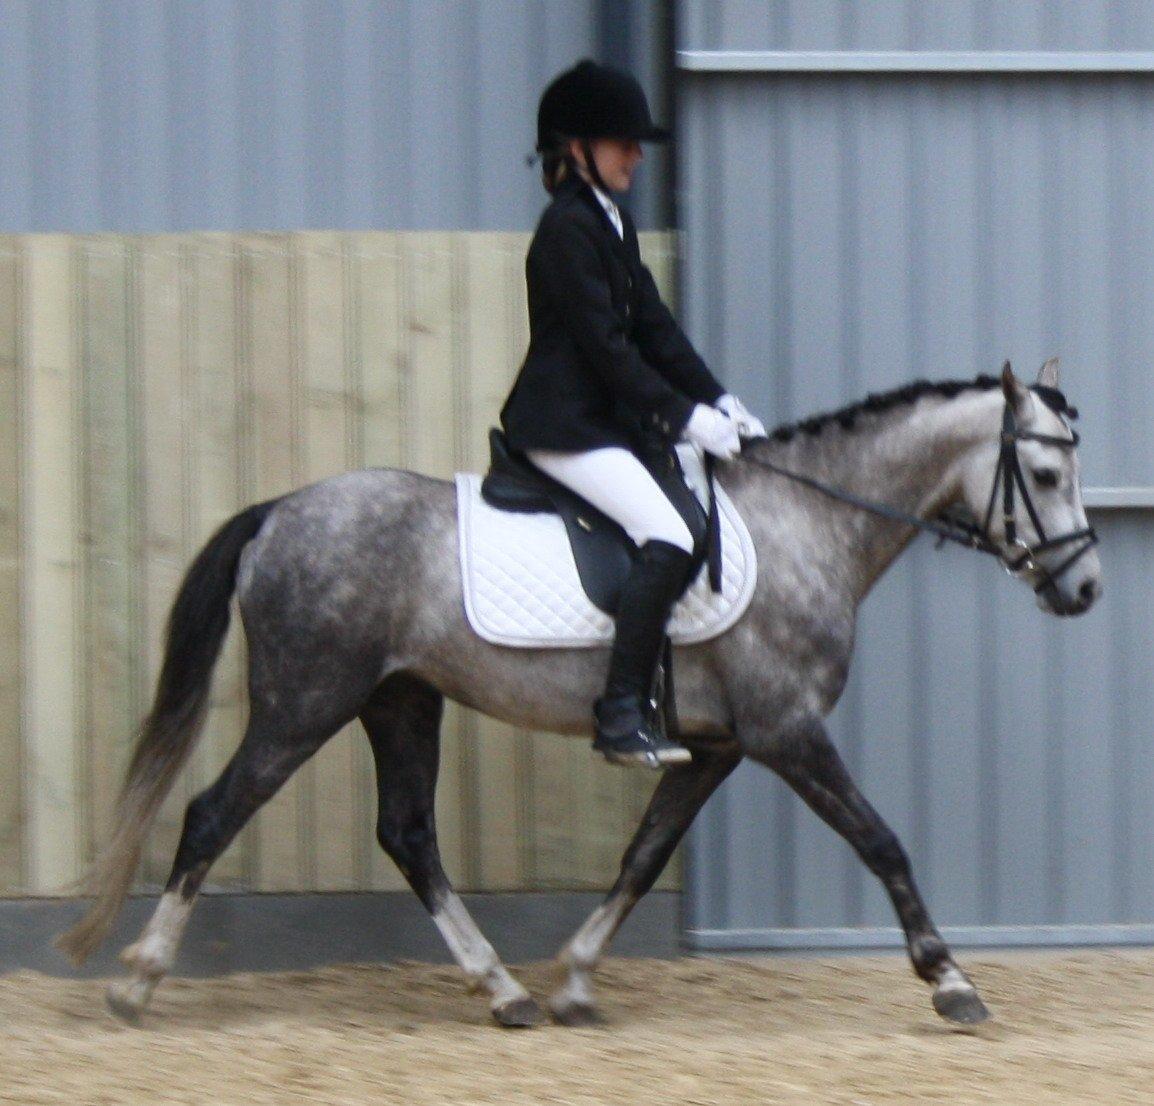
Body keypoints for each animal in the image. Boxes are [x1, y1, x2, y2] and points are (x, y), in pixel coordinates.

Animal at [58, 359, 1101, 1029]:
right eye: (1047, 472)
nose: (1084, 589)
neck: (811, 523)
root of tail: (279, 512)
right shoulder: (786, 731)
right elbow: (881, 841)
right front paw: (950, 980)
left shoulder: (717, 746)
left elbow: (643, 856)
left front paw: (575, 982)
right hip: (306, 701)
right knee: (212, 814)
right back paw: (138, 980)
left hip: (401, 700)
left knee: (408, 834)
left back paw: (505, 991)